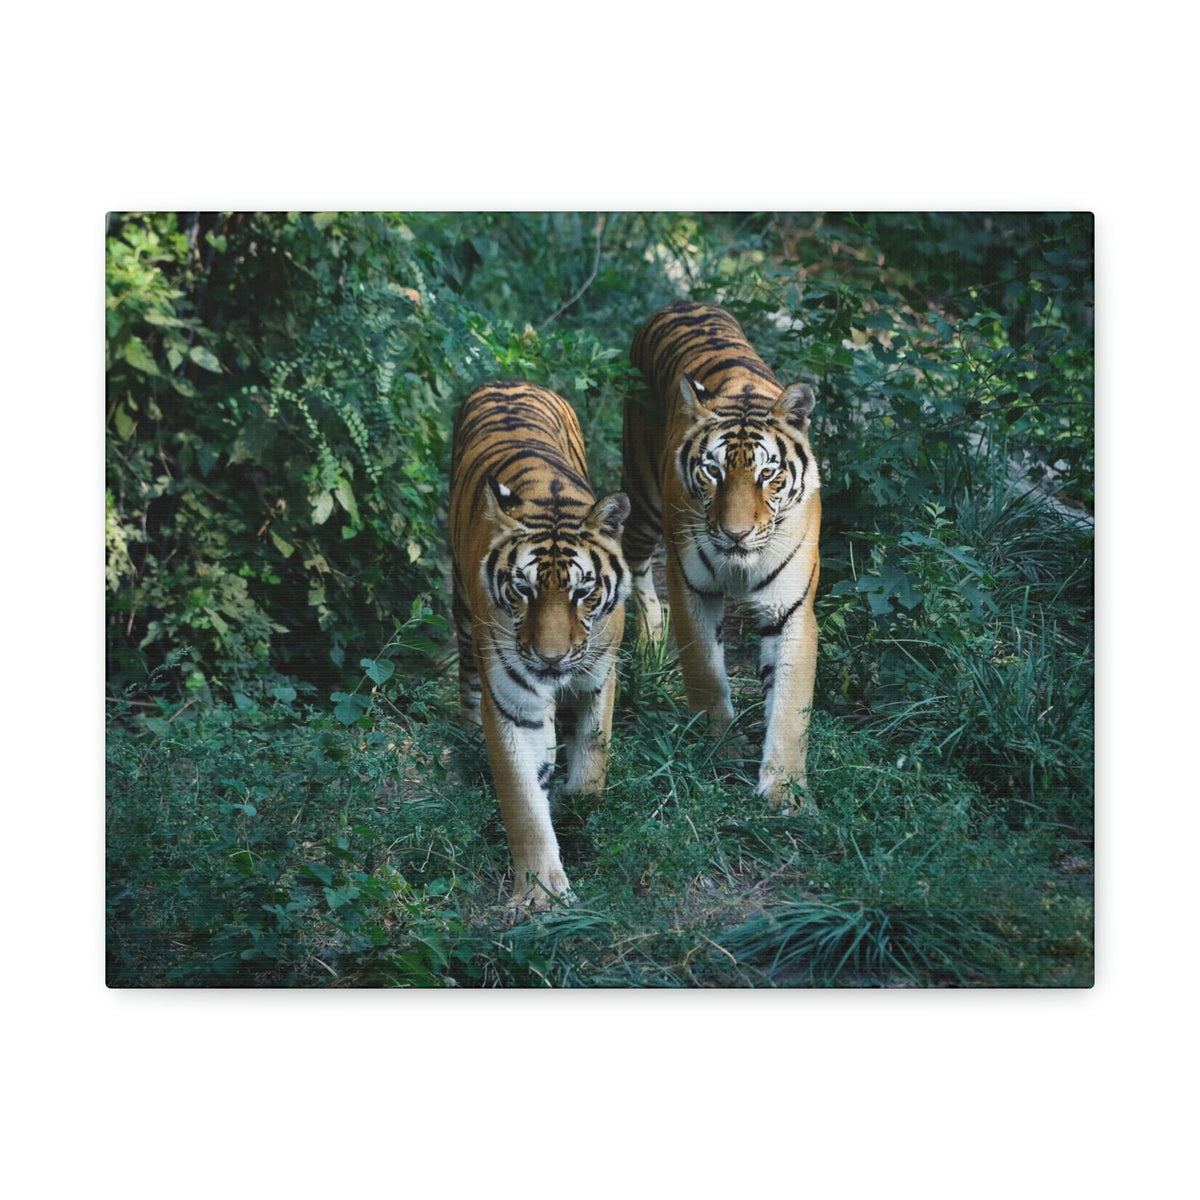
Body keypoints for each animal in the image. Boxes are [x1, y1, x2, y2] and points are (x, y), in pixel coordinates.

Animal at [449, 381, 631, 908]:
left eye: (583, 592)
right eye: (523, 589)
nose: (550, 659)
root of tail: (509, 381)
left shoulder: (600, 675)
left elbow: (593, 764)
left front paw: (576, 809)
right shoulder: (511, 703)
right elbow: (523, 800)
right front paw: (540, 893)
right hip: (462, 608)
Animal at [620, 300, 821, 808]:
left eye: (768, 473)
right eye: (712, 471)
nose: (735, 534)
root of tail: (682, 302)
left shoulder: (791, 609)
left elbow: (790, 705)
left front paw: (785, 789)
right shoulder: (691, 587)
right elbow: (706, 673)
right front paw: (722, 747)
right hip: (643, 500)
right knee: (635, 567)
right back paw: (650, 639)